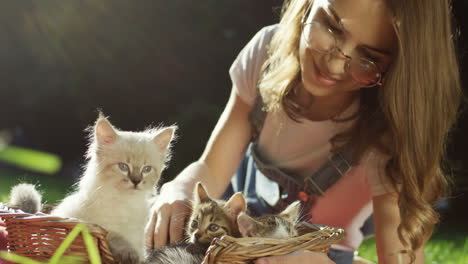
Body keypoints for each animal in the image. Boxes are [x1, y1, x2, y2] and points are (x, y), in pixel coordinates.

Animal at [51, 114, 176, 264]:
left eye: (146, 169)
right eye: (123, 167)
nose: (136, 181)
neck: (125, 201)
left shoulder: (138, 237)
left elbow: (141, 255)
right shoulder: (97, 226)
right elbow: (117, 237)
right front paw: (129, 254)